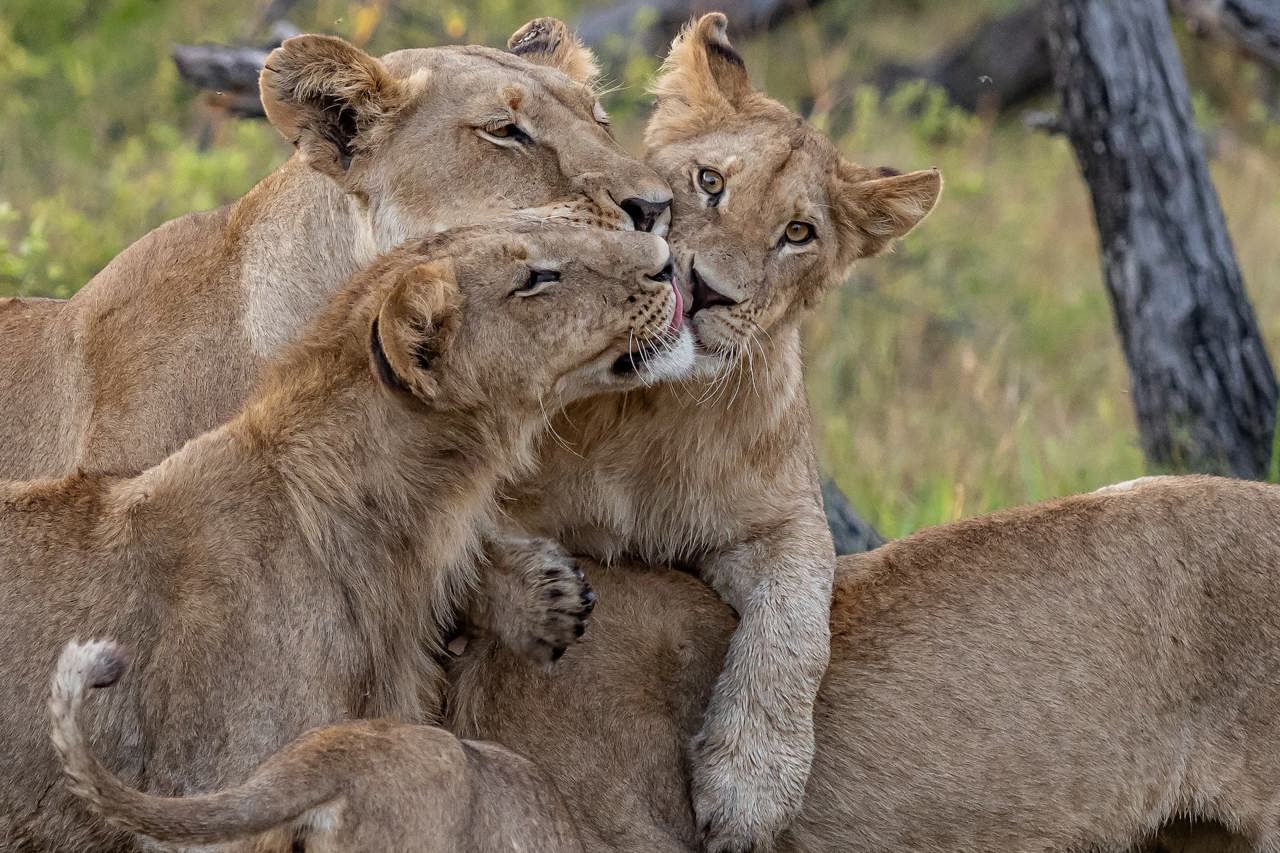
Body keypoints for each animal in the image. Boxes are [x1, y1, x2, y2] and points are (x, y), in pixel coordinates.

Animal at [469, 14, 941, 850]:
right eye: (710, 183)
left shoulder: (782, 520)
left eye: (797, 232)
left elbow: (797, 622)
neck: (653, 411)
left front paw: (751, 786)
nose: (707, 287)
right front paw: (541, 598)